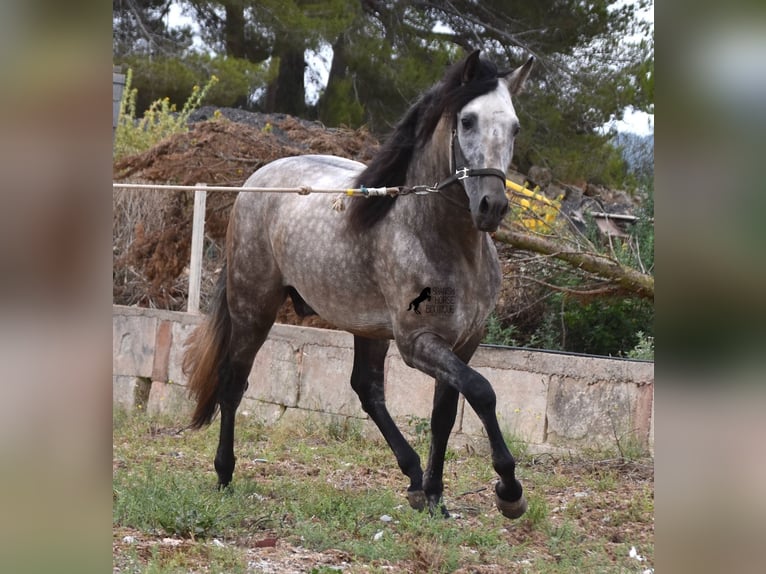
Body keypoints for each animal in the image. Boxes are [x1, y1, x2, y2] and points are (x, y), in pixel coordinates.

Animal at [184, 49, 536, 520]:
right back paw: (224, 474)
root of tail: (256, 181)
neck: (445, 243)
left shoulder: (463, 342)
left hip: (366, 327)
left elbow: (445, 414)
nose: (491, 206)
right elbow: (482, 391)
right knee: (232, 383)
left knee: (366, 389)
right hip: (253, 309)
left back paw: (414, 479)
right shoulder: (417, 343)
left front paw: (436, 496)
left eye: (515, 127)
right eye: (467, 121)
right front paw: (509, 491)